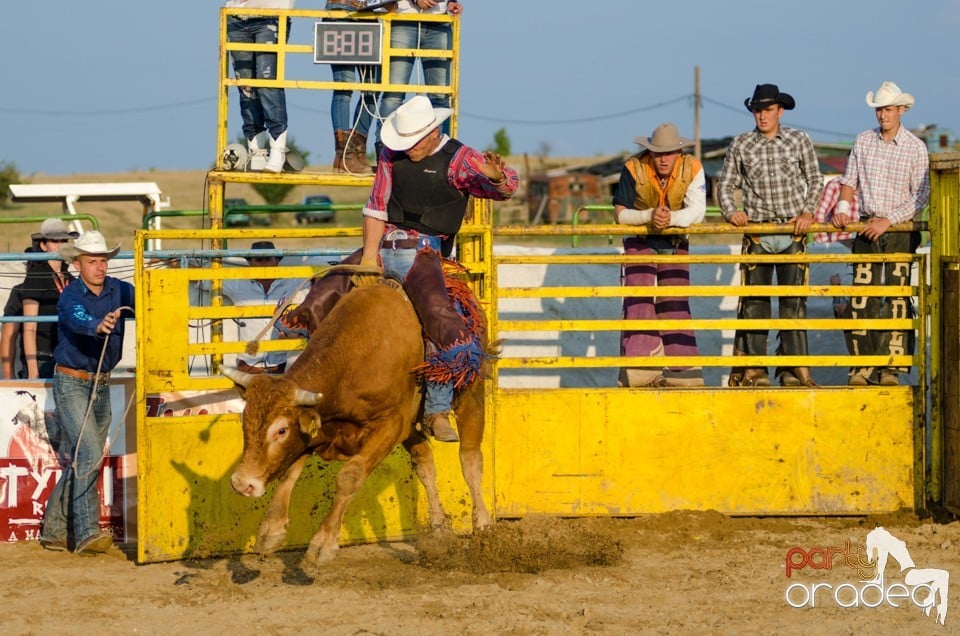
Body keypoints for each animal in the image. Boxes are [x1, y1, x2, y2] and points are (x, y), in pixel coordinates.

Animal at [222, 284, 492, 568]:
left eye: (281, 430)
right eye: (245, 422)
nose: (241, 484)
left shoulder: (390, 426)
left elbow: (350, 476)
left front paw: (323, 544)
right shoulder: (319, 428)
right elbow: (290, 472)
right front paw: (270, 530)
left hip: (470, 393)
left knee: (470, 459)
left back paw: (483, 527)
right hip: (412, 426)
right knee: (424, 463)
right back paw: (440, 531)